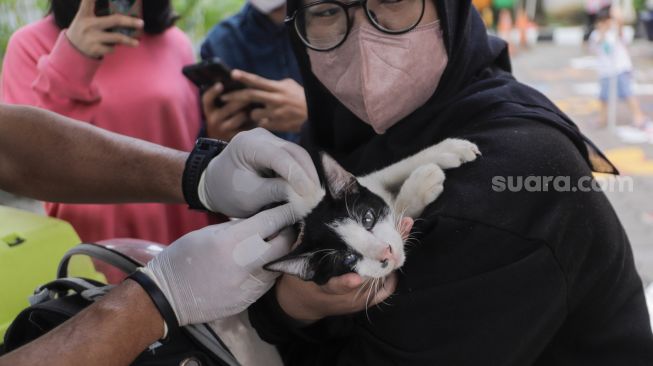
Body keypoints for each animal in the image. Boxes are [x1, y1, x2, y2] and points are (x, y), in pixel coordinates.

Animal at [262, 137, 482, 284]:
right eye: (348, 258)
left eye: (368, 219)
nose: (386, 252)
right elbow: (400, 208)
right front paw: (423, 182)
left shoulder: (368, 182)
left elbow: (392, 170)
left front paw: (450, 150)